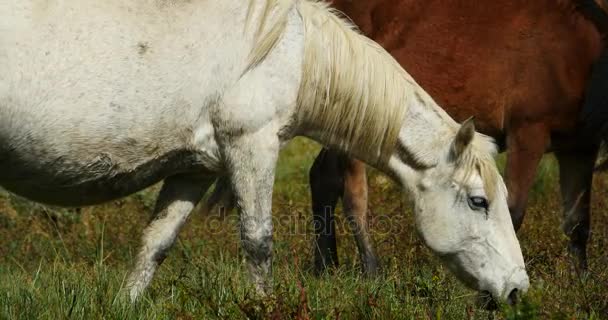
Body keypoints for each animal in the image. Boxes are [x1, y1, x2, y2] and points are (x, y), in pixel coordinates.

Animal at [1, 0, 528, 302]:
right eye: (479, 201)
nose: (516, 288)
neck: (286, 49)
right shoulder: (250, 145)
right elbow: (258, 243)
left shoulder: (193, 169)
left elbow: (156, 244)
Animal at [312, 0, 608, 276]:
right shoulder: (528, 132)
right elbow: (512, 213)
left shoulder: (580, 147)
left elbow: (578, 221)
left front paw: (580, 279)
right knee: (352, 191)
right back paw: (371, 270)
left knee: (323, 176)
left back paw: (325, 266)